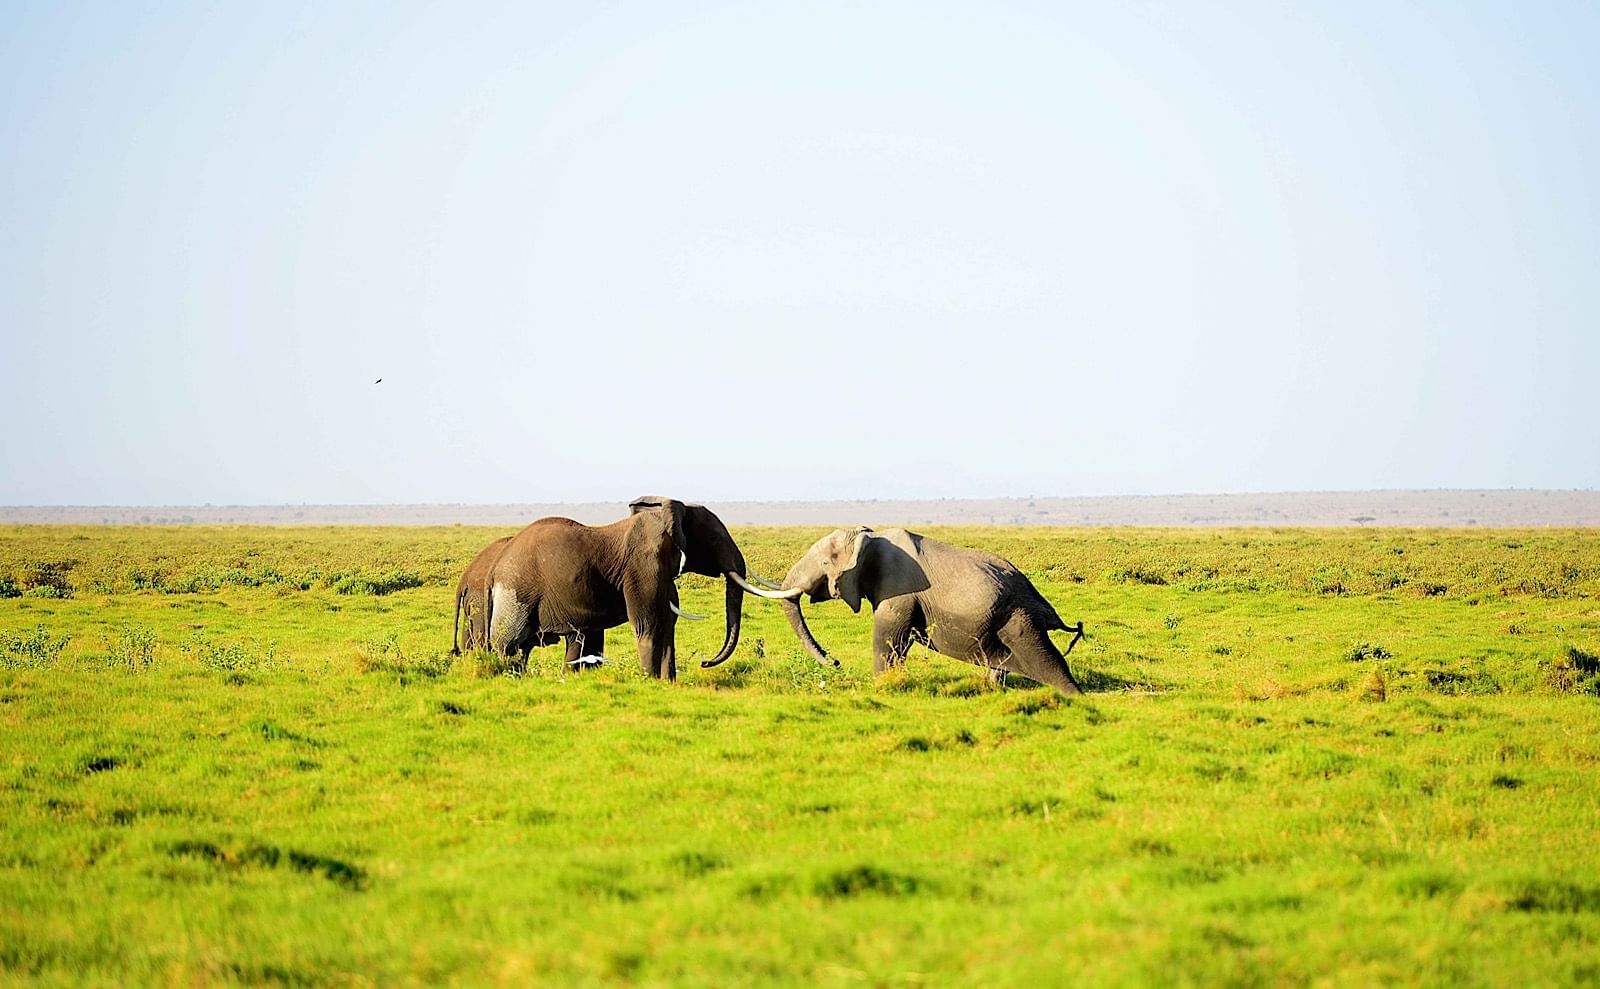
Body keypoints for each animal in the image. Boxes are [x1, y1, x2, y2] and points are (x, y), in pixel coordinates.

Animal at [481, 496, 798, 680]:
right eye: (714, 539)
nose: (705, 662)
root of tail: (494, 566)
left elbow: (667, 624)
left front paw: (666, 683)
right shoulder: (644, 566)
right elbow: (648, 624)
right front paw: (649, 681)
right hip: (516, 592)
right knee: (510, 644)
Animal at [763, 527, 1086, 694]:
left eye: (825, 562)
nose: (836, 662)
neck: (870, 536)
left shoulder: (897, 589)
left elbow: (887, 639)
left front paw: (880, 687)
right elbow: (899, 644)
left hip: (1017, 618)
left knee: (1044, 657)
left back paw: (1076, 697)